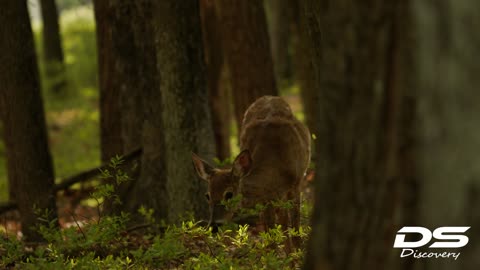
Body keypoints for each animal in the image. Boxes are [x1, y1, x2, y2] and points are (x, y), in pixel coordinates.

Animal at [191, 95, 312, 251]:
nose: (213, 226)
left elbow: (296, 228)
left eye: (229, 194)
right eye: (208, 196)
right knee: (281, 221)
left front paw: (297, 253)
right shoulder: (266, 200)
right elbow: (271, 236)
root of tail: (270, 96)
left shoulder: (296, 185)